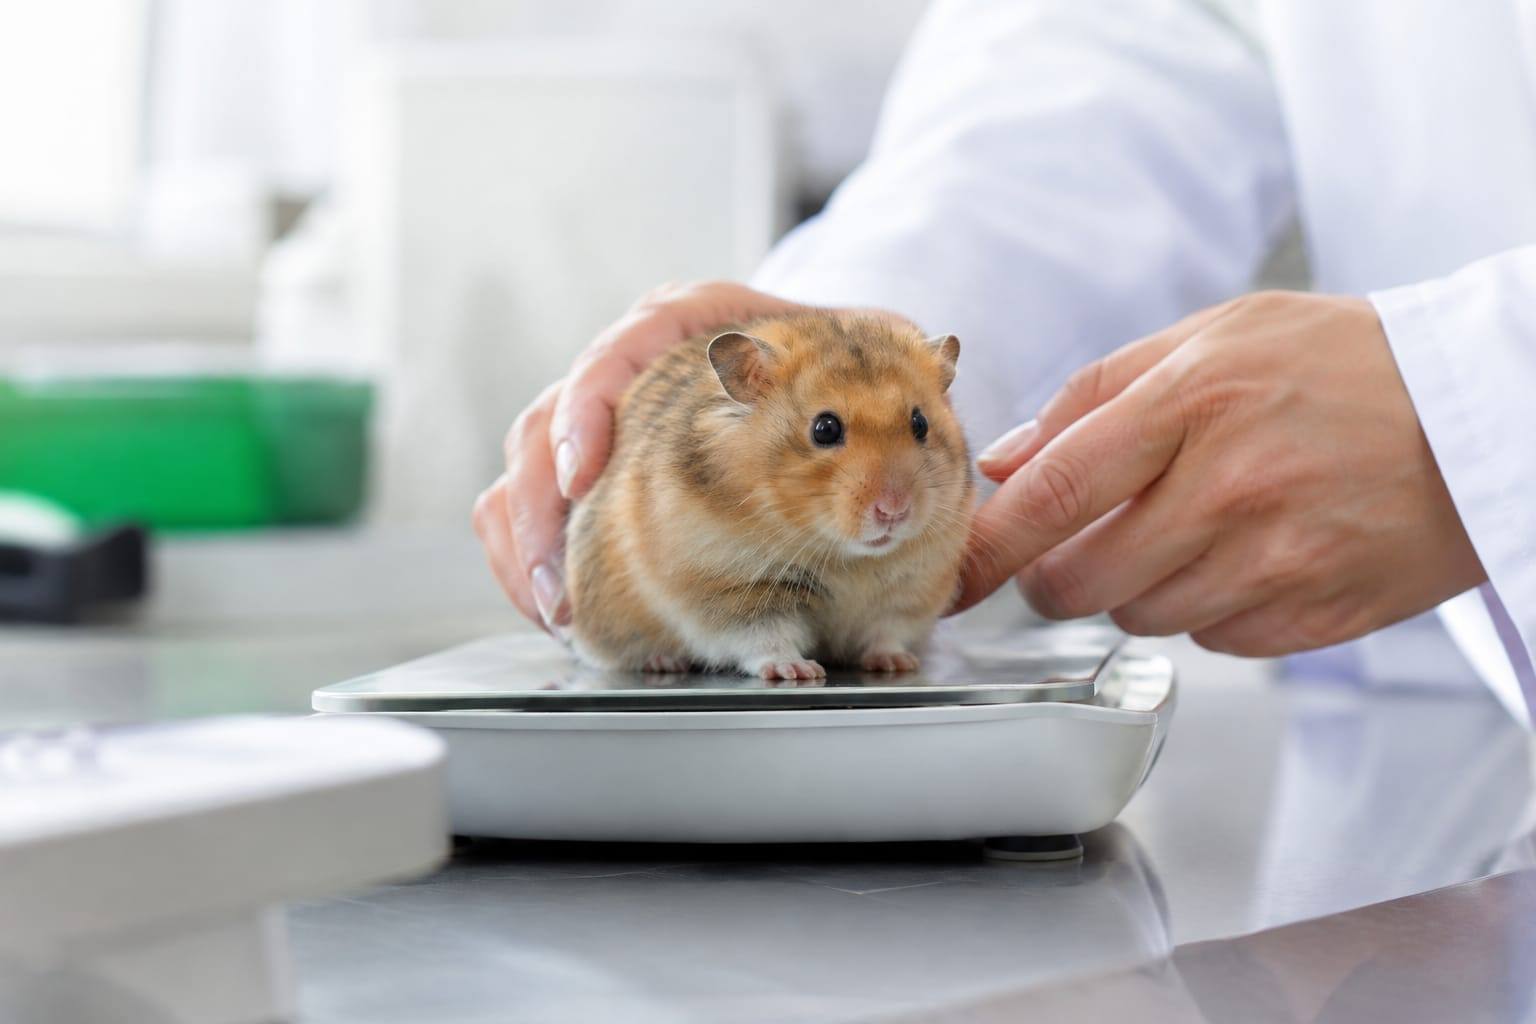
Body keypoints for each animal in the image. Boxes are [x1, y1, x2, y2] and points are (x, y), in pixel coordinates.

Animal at [565, 312, 974, 680]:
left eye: (920, 423)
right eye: (825, 428)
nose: (894, 511)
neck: (847, 558)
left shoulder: (908, 592)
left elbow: (884, 633)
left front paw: (898, 663)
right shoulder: (731, 590)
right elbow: (764, 638)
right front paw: (797, 671)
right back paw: (663, 662)